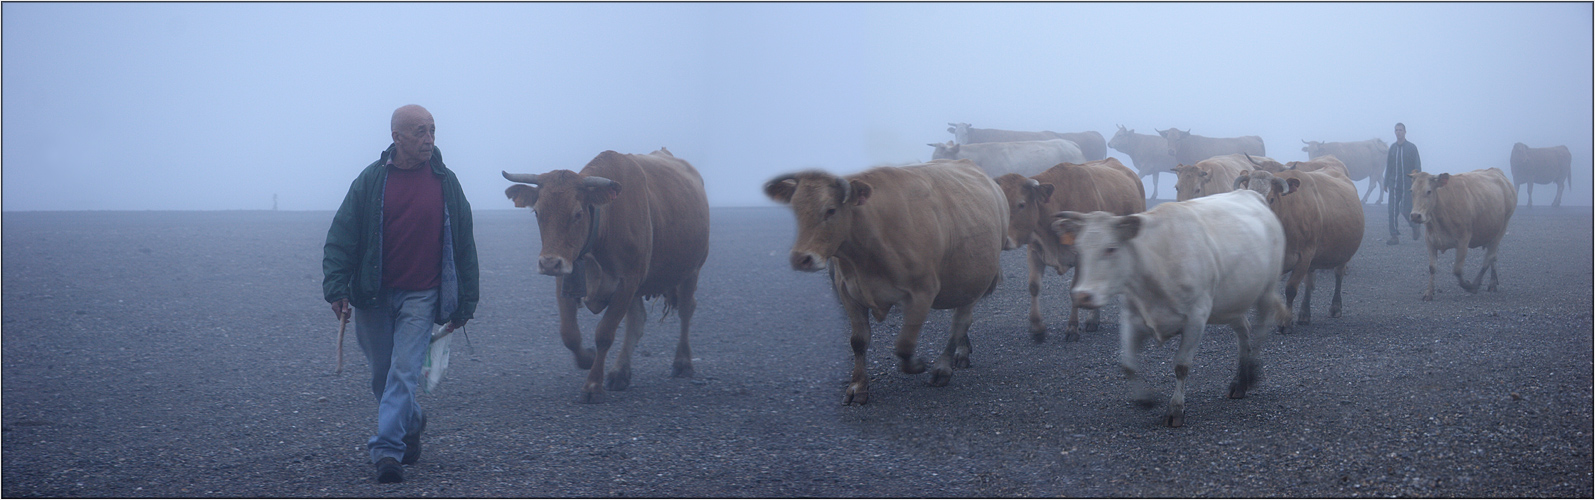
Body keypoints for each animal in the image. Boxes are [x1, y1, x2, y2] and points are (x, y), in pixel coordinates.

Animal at [762, 159, 1008, 405]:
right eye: (794, 210)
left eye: (830, 210)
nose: (801, 259)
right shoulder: (848, 293)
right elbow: (858, 340)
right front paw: (858, 386)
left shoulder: (922, 292)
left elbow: (905, 344)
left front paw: (917, 365)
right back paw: (961, 351)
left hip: (976, 280)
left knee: (959, 323)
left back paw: (943, 368)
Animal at [988, 159, 1142, 341]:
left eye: (1021, 204)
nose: (1004, 239)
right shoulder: (1034, 251)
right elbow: (1034, 286)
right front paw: (1037, 327)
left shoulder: (1081, 257)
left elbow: (1074, 290)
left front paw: (1072, 328)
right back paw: (1093, 320)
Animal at [1052, 188, 1288, 424]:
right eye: (1079, 249)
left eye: (1111, 248)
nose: (1082, 295)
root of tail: (1249, 193)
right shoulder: (1131, 317)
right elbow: (1128, 365)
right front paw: (1145, 398)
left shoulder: (1196, 319)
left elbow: (1181, 366)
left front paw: (1175, 409)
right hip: (1230, 303)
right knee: (1243, 332)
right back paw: (1239, 383)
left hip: (1266, 291)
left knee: (1260, 330)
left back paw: (1252, 373)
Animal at [1237, 168, 1365, 330]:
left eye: (1271, 199)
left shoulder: (1304, 256)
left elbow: (1291, 289)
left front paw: (1285, 322)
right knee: (1310, 283)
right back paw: (1304, 314)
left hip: (1341, 254)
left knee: (1338, 275)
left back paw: (1335, 307)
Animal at [1409, 167, 1518, 300]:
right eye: (1411, 191)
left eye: (1429, 191)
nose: (1415, 215)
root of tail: (1495, 171)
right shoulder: (1430, 240)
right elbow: (1432, 267)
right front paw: (1429, 292)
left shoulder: (1463, 241)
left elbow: (1457, 270)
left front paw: (1468, 286)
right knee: (1494, 256)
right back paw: (1492, 281)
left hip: (1502, 228)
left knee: (1489, 258)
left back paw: (1477, 284)